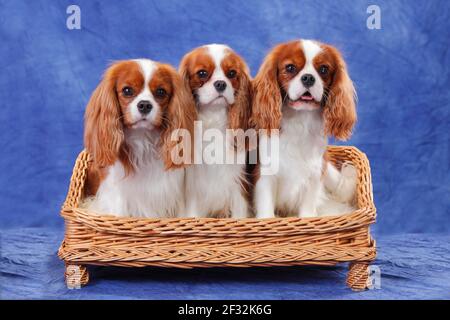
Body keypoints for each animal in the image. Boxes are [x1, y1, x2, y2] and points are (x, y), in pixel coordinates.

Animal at [178, 44, 253, 218]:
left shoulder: (237, 182)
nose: (220, 84)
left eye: (231, 73)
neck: (214, 116)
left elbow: (239, 213)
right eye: (202, 73)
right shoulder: (193, 185)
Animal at [251, 40, 356, 219]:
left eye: (324, 69)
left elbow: (308, 207)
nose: (308, 78)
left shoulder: (315, 172)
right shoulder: (266, 174)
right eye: (290, 68)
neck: (300, 119)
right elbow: (266, 209)